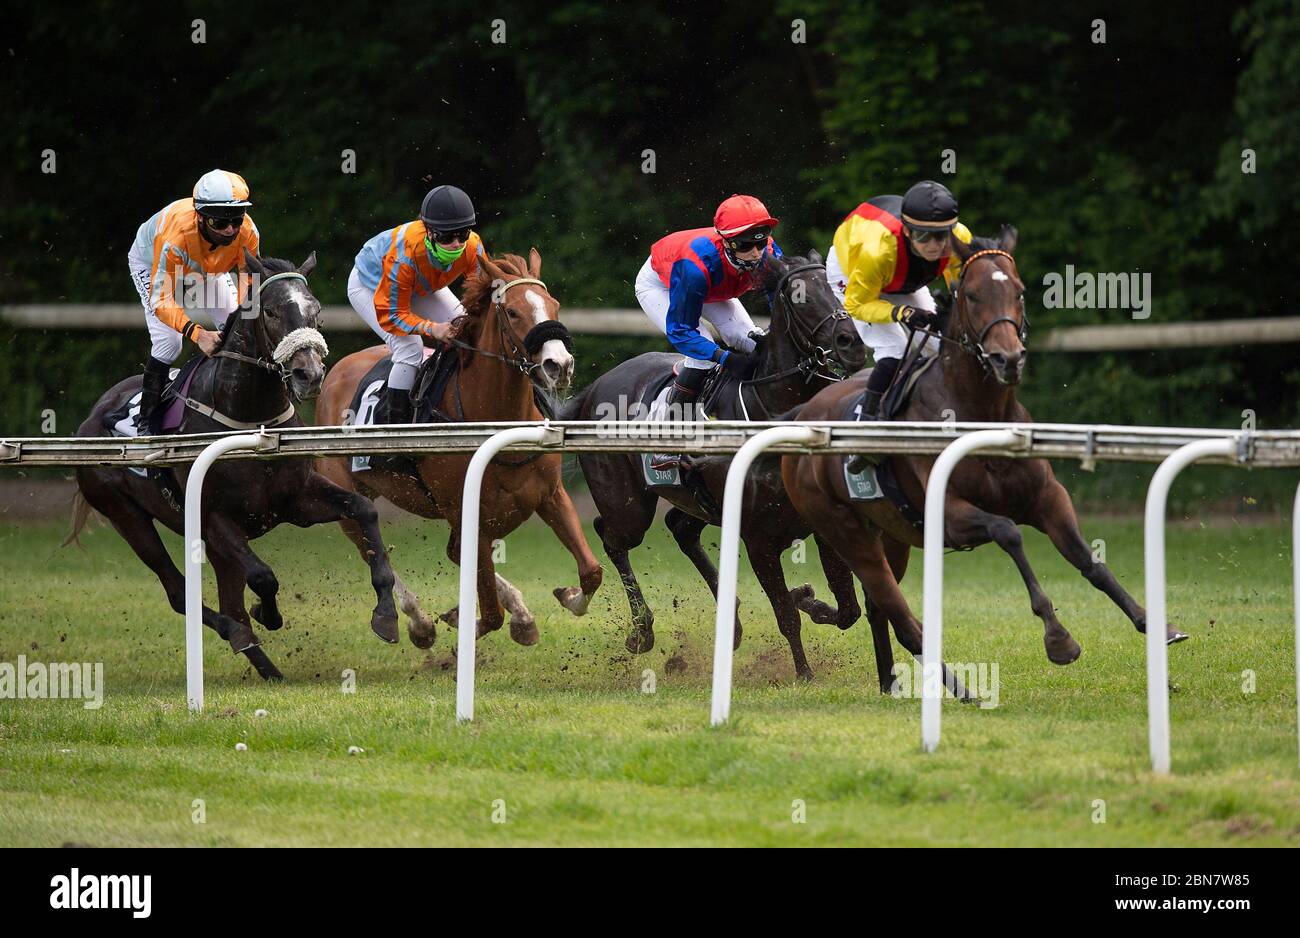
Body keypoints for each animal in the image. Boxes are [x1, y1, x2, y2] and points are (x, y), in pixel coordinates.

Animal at [69, 248, 395, 675]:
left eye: (316, 309)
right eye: (270, 311)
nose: (309, 374)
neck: (250, 418)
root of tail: (91, 416)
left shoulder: (297, 500)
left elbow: (363, 511)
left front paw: (386, 613)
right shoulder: (214, 518)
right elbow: (263, 576)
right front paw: (267, 613)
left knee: (225, 600)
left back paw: (269, 670)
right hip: (126, 514)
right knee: (180, 592)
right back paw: (238, 633)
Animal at [314, 244, 603, 646]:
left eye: (554, 305)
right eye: (513, 312)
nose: (558, 365)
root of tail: (336, 372)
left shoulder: (550, 495)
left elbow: (592, 570)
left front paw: (565, 599)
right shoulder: (468, 512)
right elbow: (491, 613)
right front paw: (464, 621)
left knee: (450, 554)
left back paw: (519, 613)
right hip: (347, 497)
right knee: (372, 550)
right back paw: (414, 620)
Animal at [564, 248, 868, 675]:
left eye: (837, 288)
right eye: (798, 298)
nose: (851, 343)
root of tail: (594, 389)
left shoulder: (821, 524)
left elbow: (847, 609)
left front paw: (807, 597)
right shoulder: (757, 538)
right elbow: (786, 616)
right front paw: (804, 674)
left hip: (697, 500)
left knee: (679, 529)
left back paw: (732, 621)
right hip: (628, 506)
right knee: (611, 536)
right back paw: (641, 631)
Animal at [774, 232, 1185, 685]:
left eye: (1019, 291)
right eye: (971, 295)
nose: (1009, 359)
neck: (980, 409)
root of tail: (804, 412)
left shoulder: (1047, 497)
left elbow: (1088, 561)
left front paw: (1155, 625)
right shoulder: (951, 516)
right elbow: (1009, 532)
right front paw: (1058, 639)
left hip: (891, 534)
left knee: (880, 608)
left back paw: (891, 683)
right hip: (842, 529)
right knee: (897, 611)